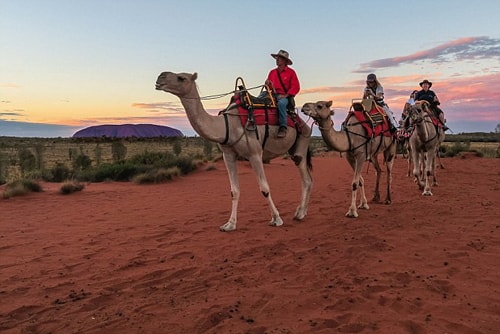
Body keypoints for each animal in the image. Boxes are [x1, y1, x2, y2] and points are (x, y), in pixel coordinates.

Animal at [155, 72, 312, 231]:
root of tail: (303, 123)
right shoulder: (228, 155)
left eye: (181, 78)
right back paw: (301, 211)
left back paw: (300, 214)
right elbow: (234, 191)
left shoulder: (255, 154)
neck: (226, 125)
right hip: (293, 149)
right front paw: (230, 224)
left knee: (306, 178)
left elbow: (264, 188)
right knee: (308, 178)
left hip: (302, 141)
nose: (160, 77)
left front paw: (277, 219)